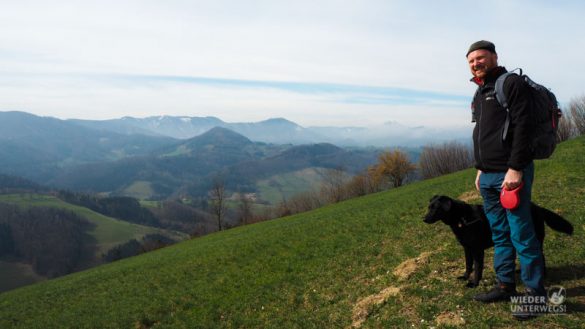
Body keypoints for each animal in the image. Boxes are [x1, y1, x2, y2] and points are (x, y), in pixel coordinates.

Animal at [422, 195, 572, 288]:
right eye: (429, 207)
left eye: (436, 208)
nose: (423, 219)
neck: (460, 218)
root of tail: (537, 207)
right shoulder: (467, 248)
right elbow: (468, 265)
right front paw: (465, 277)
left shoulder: (477, 250)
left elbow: (477, 267)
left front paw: (474, 283)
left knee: (540, 257)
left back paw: (542, 275)